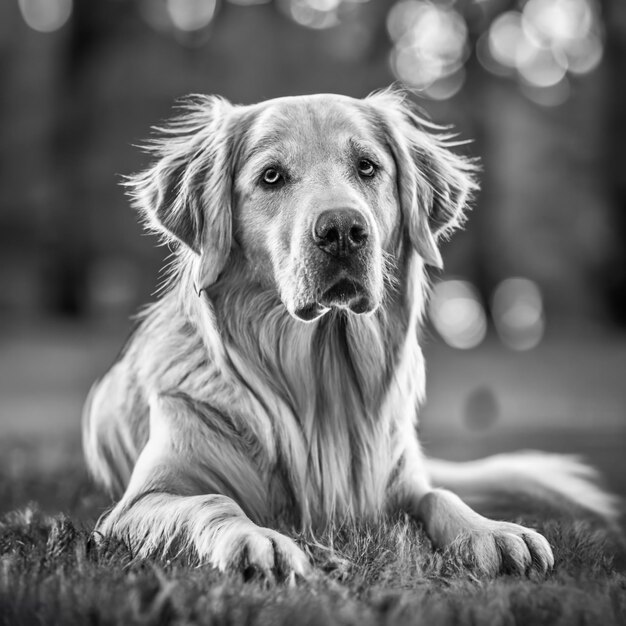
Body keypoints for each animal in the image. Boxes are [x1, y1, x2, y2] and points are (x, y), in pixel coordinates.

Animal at [81, 89, 616, 580]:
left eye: (367, 167)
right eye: (271, 176)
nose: (342, 229)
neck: (321, 382)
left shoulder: (399, 482)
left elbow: (440, 495)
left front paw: (492, 532)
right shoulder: (138, 505)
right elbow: (212, 502)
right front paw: (258, 540)